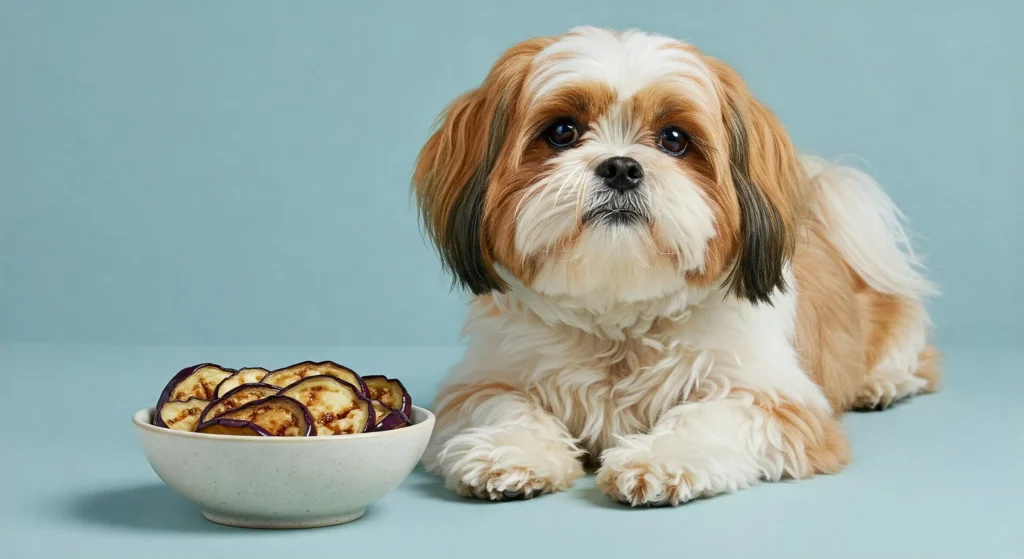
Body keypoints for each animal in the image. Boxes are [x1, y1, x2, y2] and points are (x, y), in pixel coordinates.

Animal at [407, 26, 937, 503]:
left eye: (675, 140)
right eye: (562, 131)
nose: (621, 166)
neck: (619, 324)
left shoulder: (776, 401)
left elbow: (711, 416)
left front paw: (662, 459)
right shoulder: (483, 382)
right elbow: (504, 406)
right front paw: (512, 452)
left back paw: (884, 383)